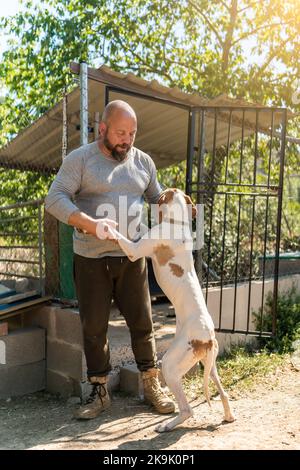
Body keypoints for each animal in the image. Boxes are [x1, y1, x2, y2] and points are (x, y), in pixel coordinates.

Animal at [106, 189, 236, 432]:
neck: (177, 223)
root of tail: (208, 337)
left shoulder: (134, 250)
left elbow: (119, 234)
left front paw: (105, 225)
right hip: (209, 366)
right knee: (222, 393)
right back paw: (228, 416)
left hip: (170, 366)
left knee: (188, 410)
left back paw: (167, 425)